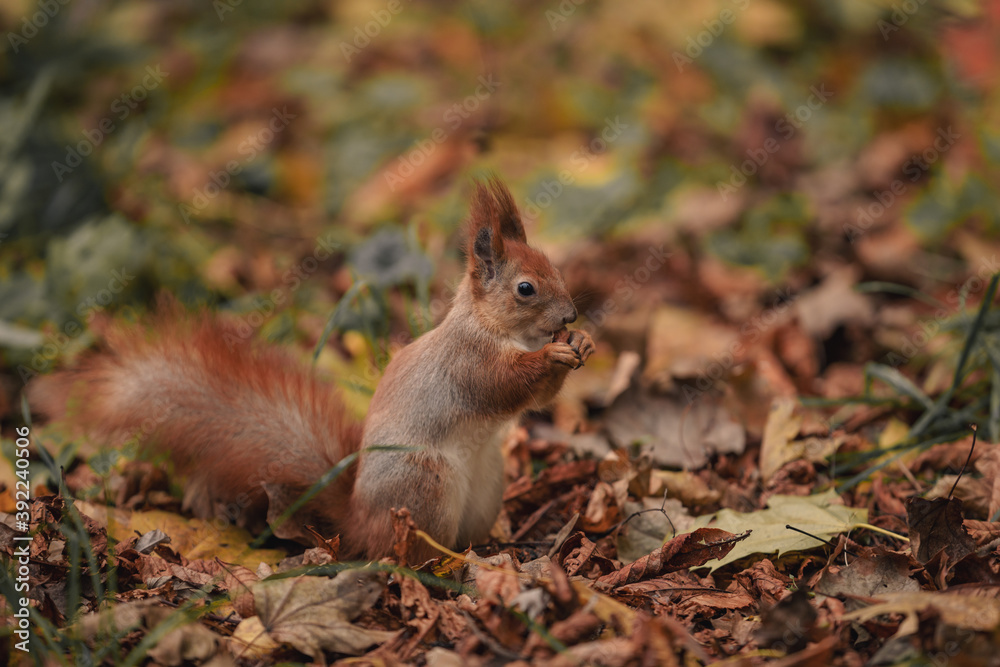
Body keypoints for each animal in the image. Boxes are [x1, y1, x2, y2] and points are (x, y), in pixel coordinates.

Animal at [27, 178, 595, 561]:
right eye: (525, 288)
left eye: (554, 266)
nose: (570, 315)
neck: (492, 327)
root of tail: (357, 523)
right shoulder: (468, 364)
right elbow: (506, 385)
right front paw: (552, 355)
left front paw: (582, 343)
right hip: (424, 486)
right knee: (407, 556)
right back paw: (448, 564)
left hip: (488, 480)